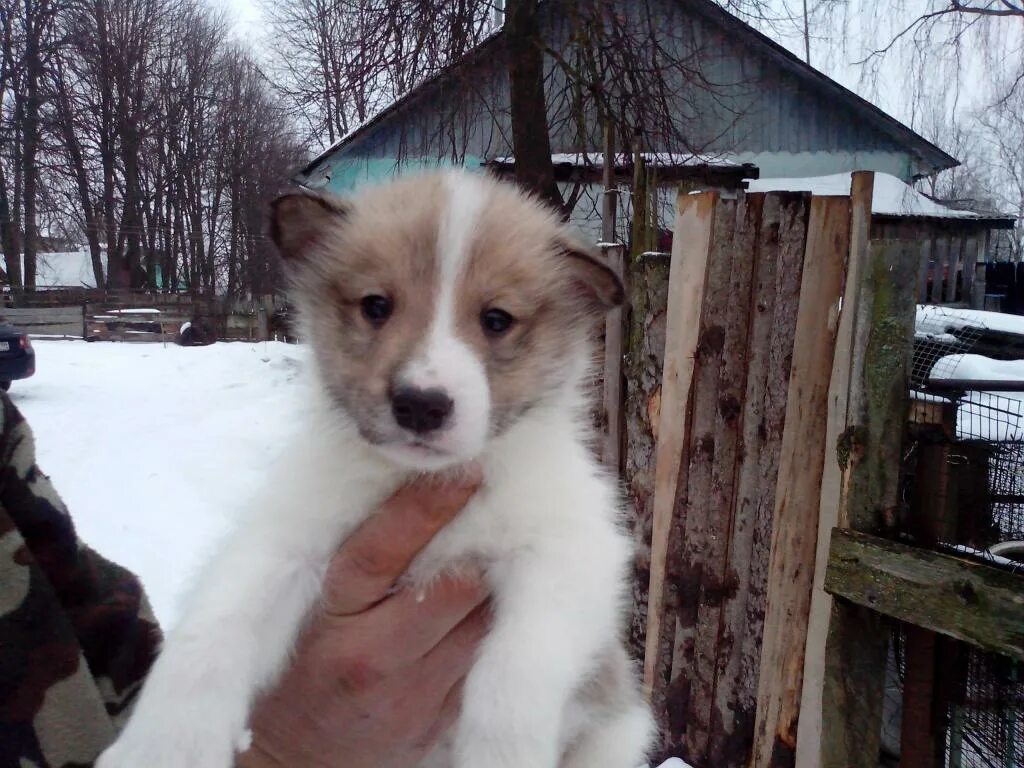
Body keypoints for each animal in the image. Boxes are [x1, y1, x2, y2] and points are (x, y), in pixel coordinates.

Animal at [97, 171, 655, 765]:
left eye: (497, 319)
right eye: (376, 305)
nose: (421, 405)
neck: (418, 478)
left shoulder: (569, 554)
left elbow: (517, 671)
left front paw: (502, 751)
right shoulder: (284, 540)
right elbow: (213, 630)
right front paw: (162, 746)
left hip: (618, 737)